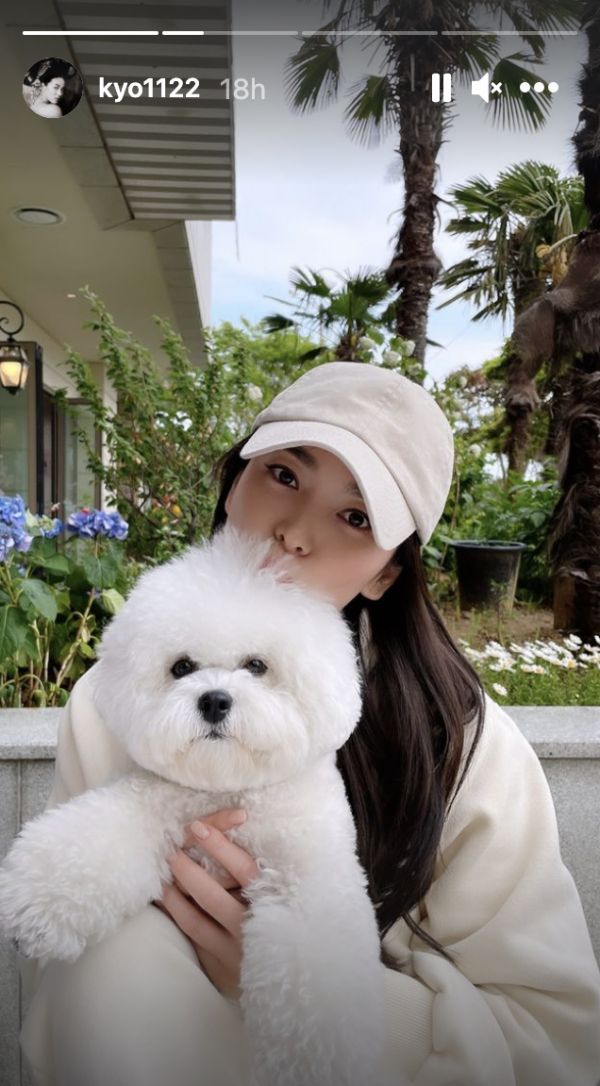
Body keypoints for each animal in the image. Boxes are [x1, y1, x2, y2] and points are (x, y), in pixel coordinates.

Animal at [2, 525, 400, 1086]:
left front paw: (317, 1062)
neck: (227, 787)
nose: (213, 699)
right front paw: (36, 905)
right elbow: (91, 840)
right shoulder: (150, 805)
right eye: (182, 667)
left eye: (257, 666)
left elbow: (314, 976)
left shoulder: (308, 871)